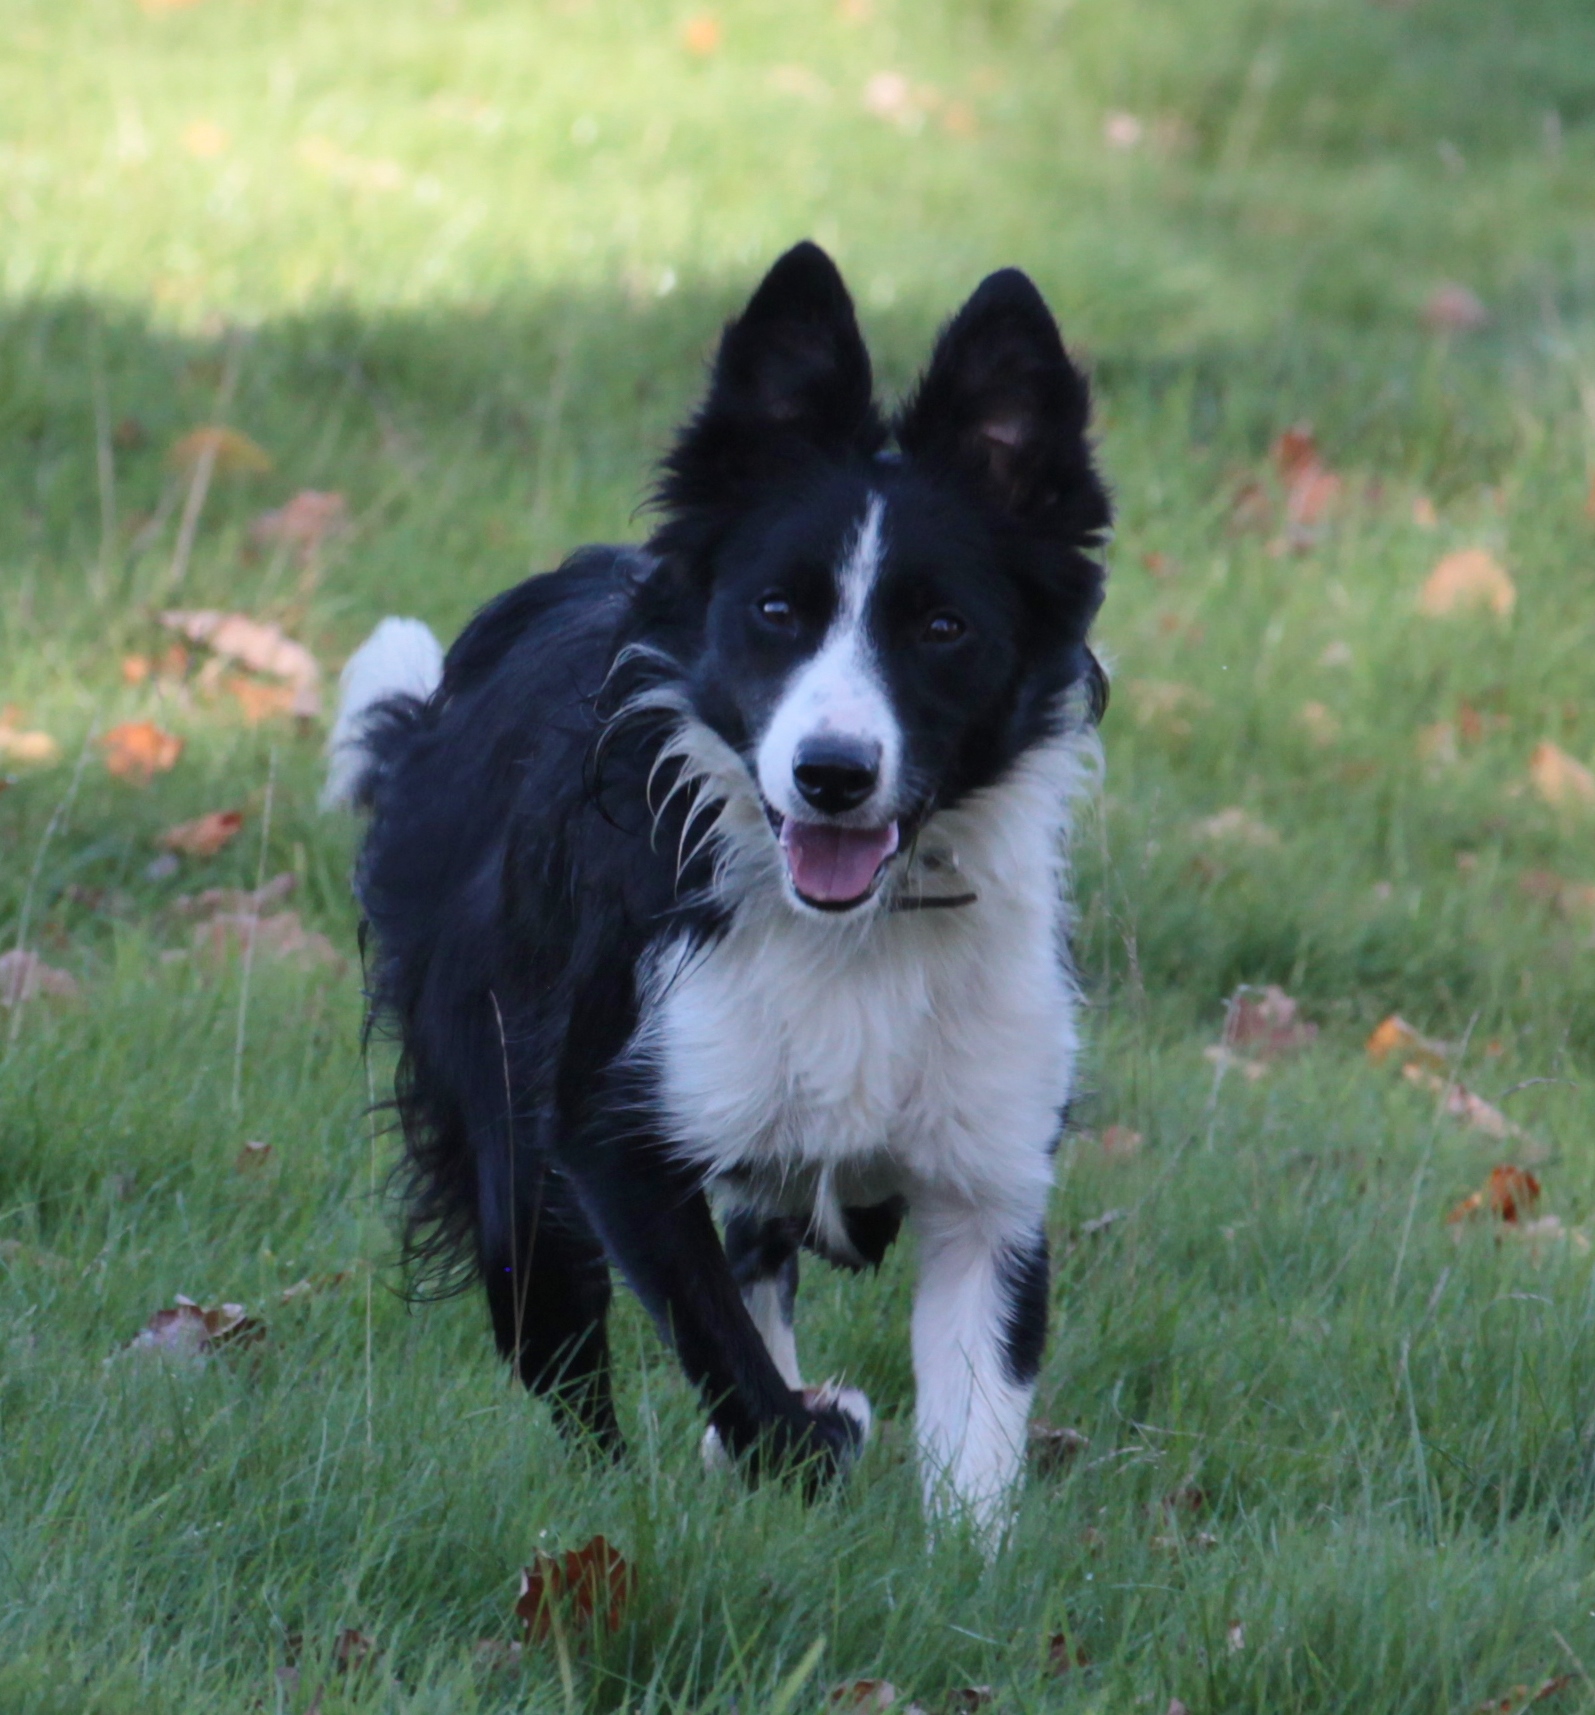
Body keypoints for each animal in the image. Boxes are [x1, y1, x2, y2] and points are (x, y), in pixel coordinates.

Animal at [322, 238, 1104, 1529]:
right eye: (775, 609)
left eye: (941, 626)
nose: (832, 774)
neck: (852, 934)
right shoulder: (611, 1118)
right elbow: (729, 1358)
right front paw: (815, 1433)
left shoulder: (988, 1172)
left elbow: (973, 1440)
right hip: (502, 1128)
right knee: (560, 1342)